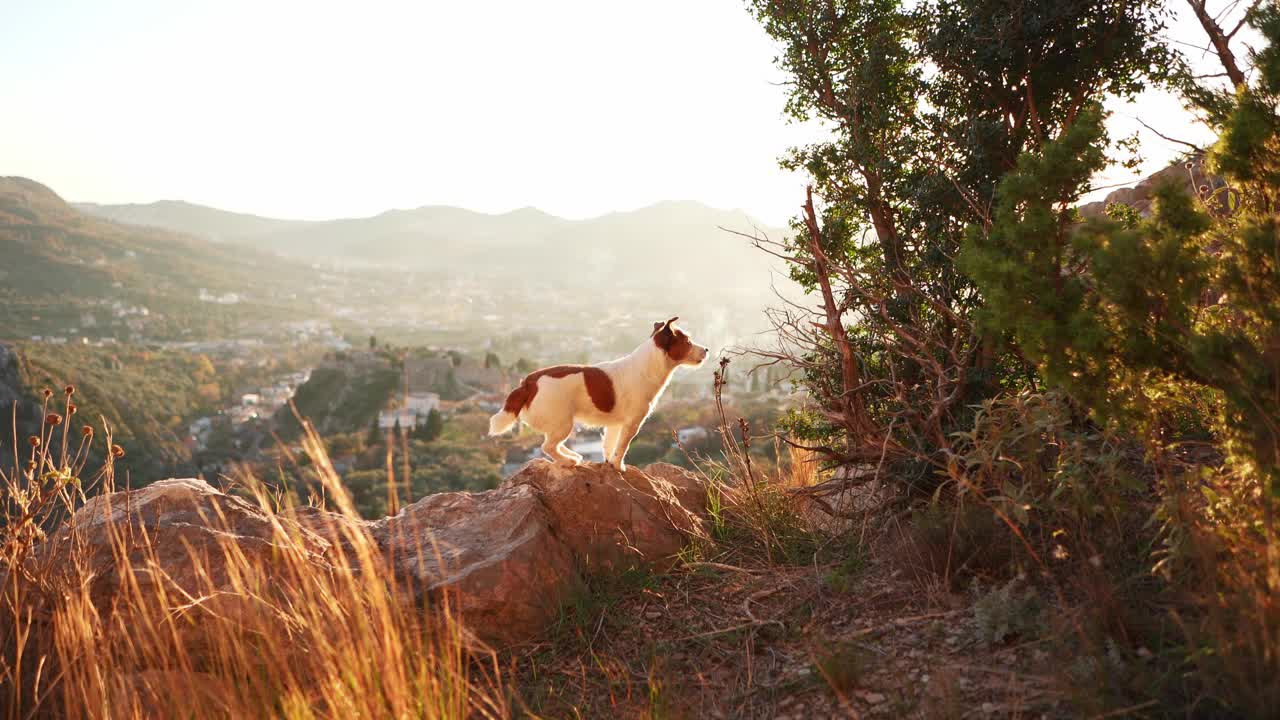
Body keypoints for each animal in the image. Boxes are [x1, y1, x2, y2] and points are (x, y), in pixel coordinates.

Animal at [486, 315, 711, 471]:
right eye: (688, 342)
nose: (707, 349)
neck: (647, 366)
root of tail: (528, 383)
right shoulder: (632, 424)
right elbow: (622, 447)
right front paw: (619, 466)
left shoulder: (614, 425)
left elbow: (610, 445)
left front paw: (610, 463)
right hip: (563, 423)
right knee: (548, 446)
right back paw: (568, 461)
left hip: (560, 424)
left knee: (552, 444)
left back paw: (573, 456)